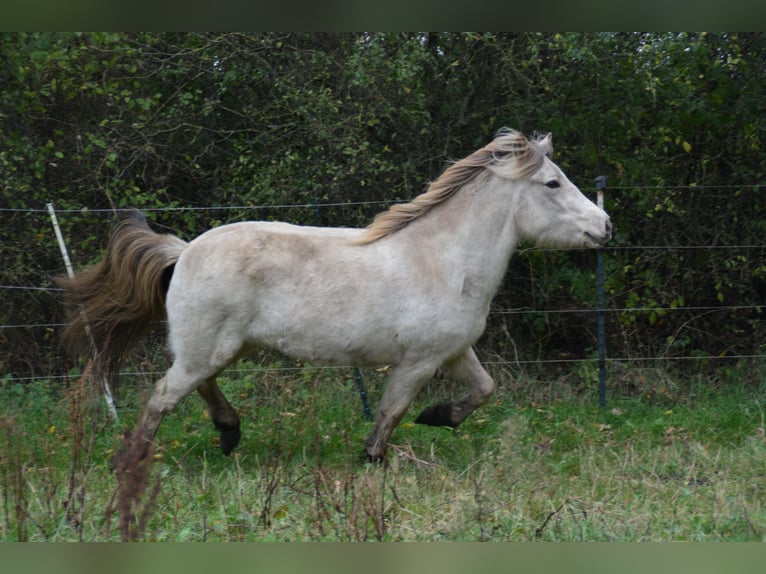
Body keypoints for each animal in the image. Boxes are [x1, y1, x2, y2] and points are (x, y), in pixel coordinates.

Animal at [58, 128, 612, 463]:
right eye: (552, 183)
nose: (605, 226)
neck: (444, 260)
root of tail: (185, 248)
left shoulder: (454, 353)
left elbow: (484, 390)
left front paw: (438, 418)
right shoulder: (418, 361)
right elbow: (390, 411)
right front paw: (373, 460)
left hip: (223, 347)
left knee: (199, 387)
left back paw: (229, 432)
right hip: (205, 348)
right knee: (163, 396)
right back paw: (131, 460)